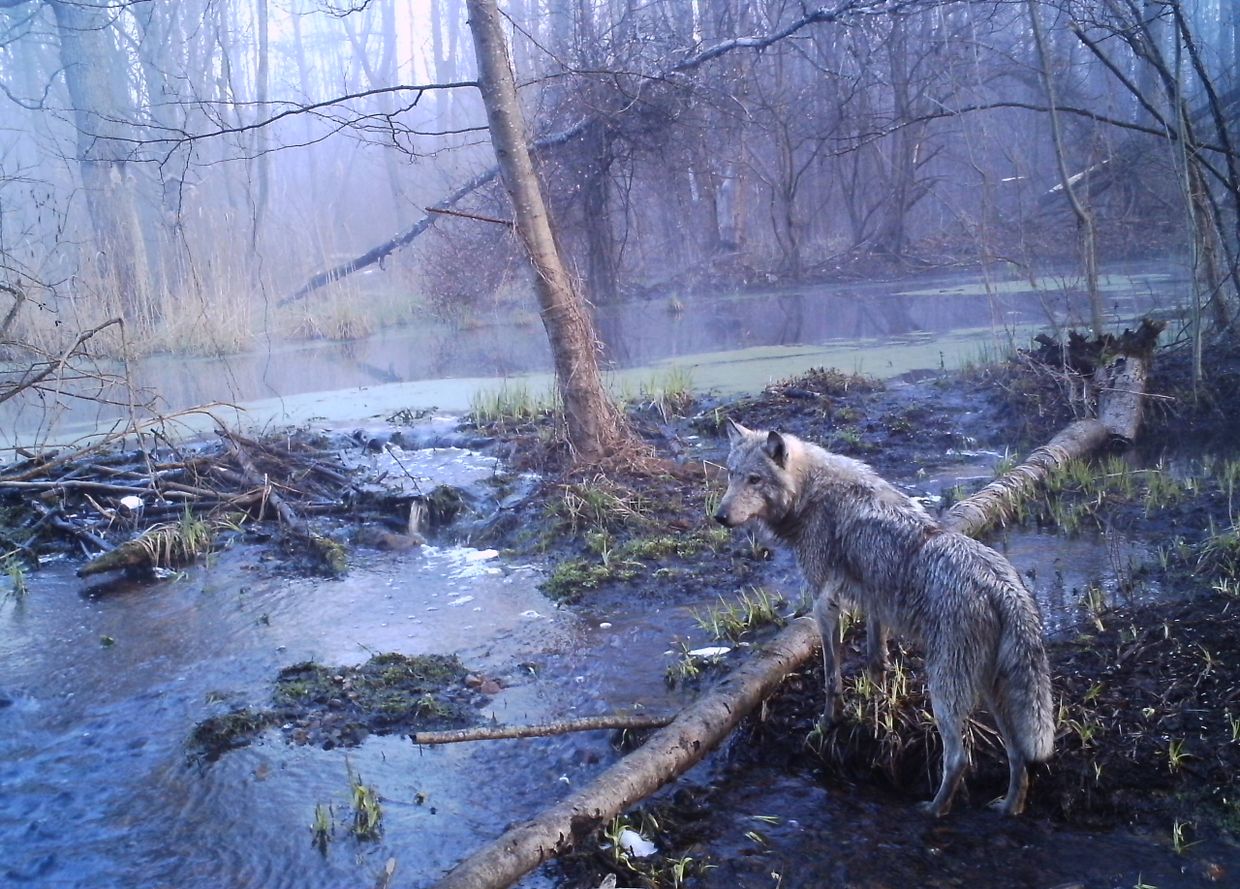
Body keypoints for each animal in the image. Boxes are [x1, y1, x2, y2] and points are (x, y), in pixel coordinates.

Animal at [714, 419, 1054, 816]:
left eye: (754, 479)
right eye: (732, 474)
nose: (720, 516)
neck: (811, 493)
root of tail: (1003, 586)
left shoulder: (825, 605)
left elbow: (831, 678)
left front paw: (828, 724)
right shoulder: (873, 602)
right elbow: (876, 661)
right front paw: (875, 710)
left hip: (945, 692)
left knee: (958, 759)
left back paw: (933, 811)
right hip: (991, 692)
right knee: (1018, 756)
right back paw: (1008, 808)